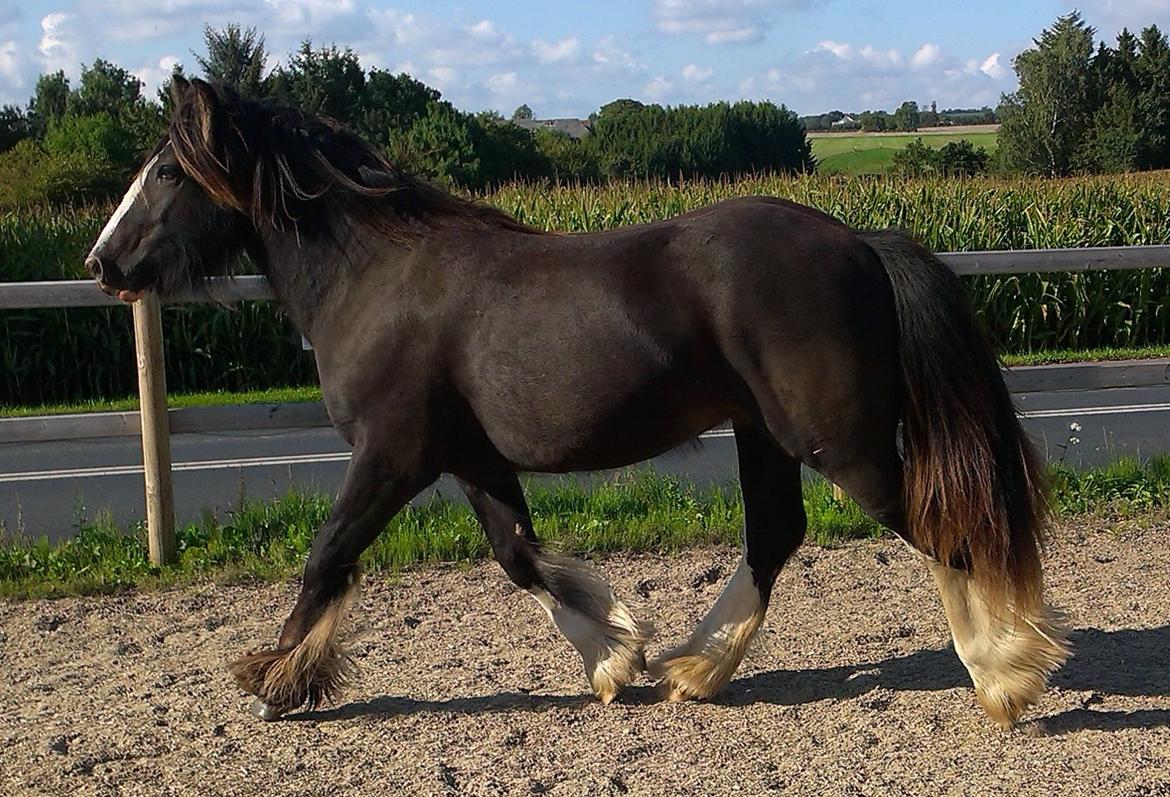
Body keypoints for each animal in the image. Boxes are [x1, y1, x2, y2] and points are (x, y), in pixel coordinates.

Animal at [84, 77, 1071, 725]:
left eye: (166, 172)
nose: (102, 263)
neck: (373, 277)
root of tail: (861, 242)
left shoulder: (393, 454)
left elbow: (328, 554)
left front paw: (277, 678)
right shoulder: (469, 459)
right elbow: (520, 556)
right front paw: (615, 655)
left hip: (841, 442)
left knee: (940, 524)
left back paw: (1006, 677)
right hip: (765, 432)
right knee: (775, 534)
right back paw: (693, 670)